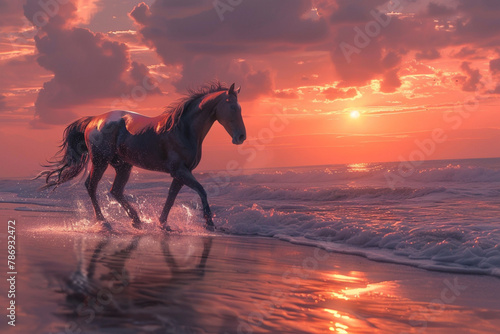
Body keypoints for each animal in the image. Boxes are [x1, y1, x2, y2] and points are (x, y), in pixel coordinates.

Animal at [35, 82, 246, 231]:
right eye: (233, 108)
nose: (241, 137)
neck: (183, 130)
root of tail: (93, 120)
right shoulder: (180, 171)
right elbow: (202, 190)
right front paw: (209, 223)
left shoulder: (180, 174)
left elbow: (171, 199)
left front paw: (163, 224)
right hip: (100, 161)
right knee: (91, 186)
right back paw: (104, 222)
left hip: (123, 165)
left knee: (115, 191)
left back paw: (136, 221)